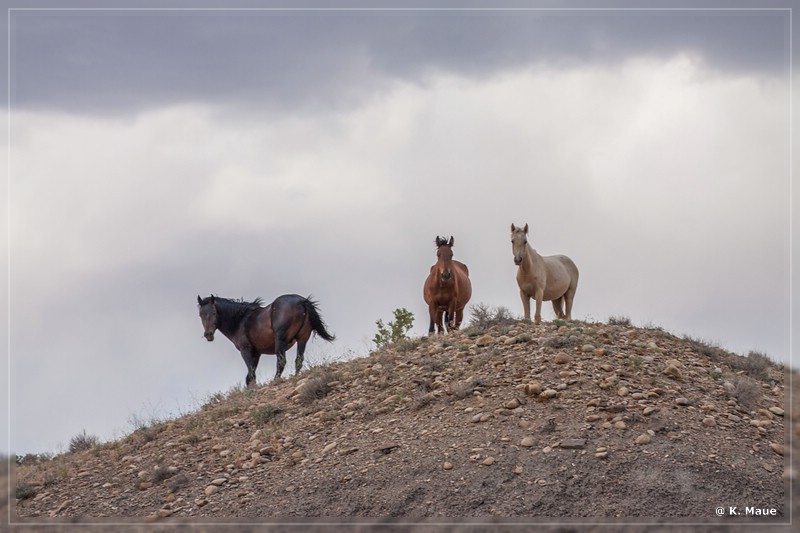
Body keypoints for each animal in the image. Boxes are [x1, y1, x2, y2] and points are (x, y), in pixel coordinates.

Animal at [197, 290, 334, 386]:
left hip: (280, 341)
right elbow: (249, 377)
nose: (208, 335)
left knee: (281, 362)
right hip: (302, 339)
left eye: (214, 313)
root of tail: (302, 301)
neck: (240, 320)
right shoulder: (256, 354)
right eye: (200, 315)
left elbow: (251, 374)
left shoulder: (246, 350)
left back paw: (276, 380)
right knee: (298, 360)